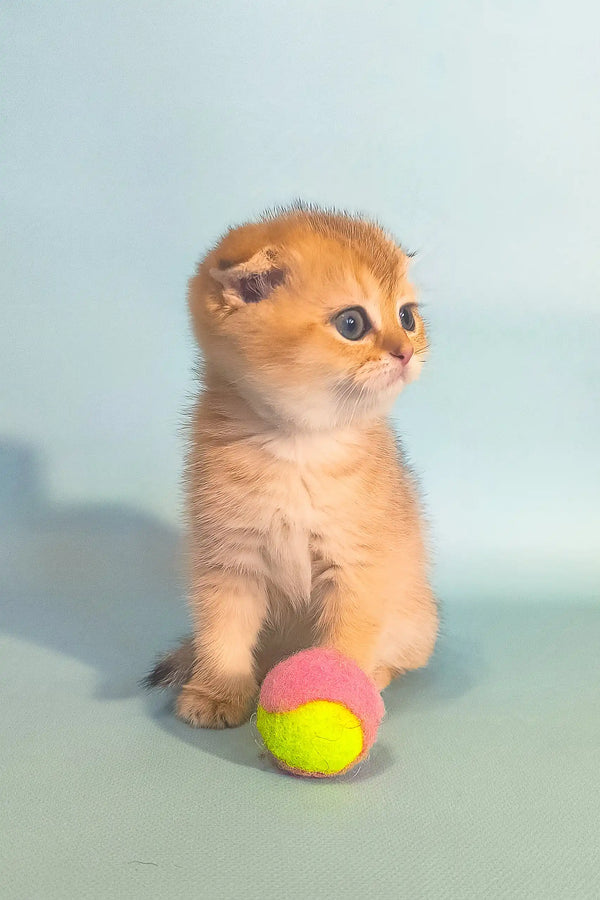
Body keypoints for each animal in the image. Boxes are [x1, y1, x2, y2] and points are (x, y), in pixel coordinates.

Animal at [145, 206, 436, 732]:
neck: (299, 445)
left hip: (416, 621)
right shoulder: (228, 561)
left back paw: (376, 677)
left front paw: (338, 696)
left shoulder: (357, 569)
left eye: (407, 317)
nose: (405, 352)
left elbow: (346, 643)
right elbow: (222, 633)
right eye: (351, 323)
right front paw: (218, 691)